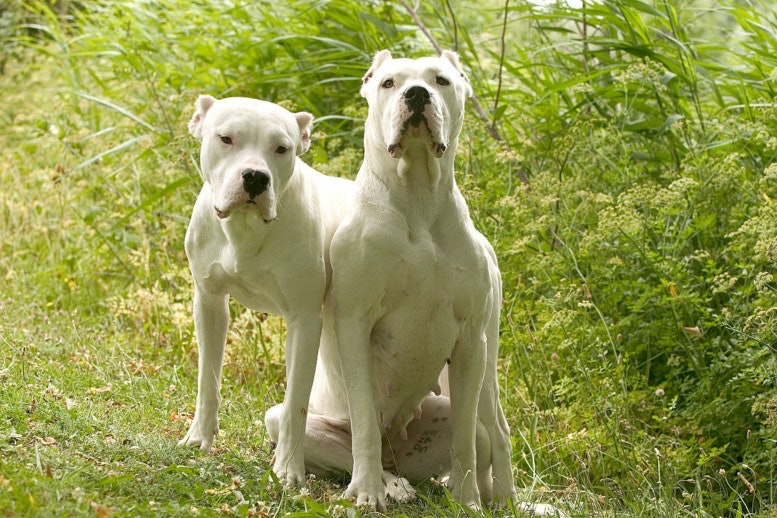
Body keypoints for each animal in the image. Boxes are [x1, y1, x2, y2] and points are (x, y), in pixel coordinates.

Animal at [180, 95, 354, 490]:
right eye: (226, 139)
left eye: (281, 148)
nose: (256, 177)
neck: (246, 229)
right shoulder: (209, 303)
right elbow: (208, 379)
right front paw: (200, 437)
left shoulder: (304, 321)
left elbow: (295, 404)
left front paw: (288, 468)